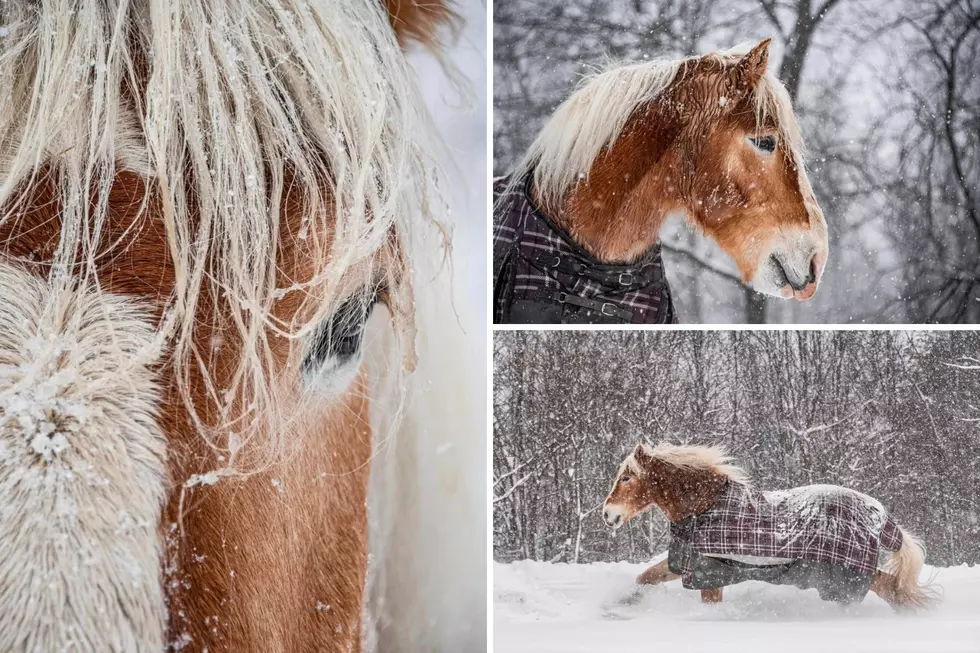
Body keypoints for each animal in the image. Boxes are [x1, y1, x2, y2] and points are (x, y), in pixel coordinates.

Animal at [600, 440, 936, 608]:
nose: (607, 514)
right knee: (893, 589)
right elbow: (645, 578)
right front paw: (618, 605)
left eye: (627, 477)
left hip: (844, 577)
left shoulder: (710, 573)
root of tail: (879, 515)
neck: (703, 507)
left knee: (889, 589)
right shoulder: (686, 563)